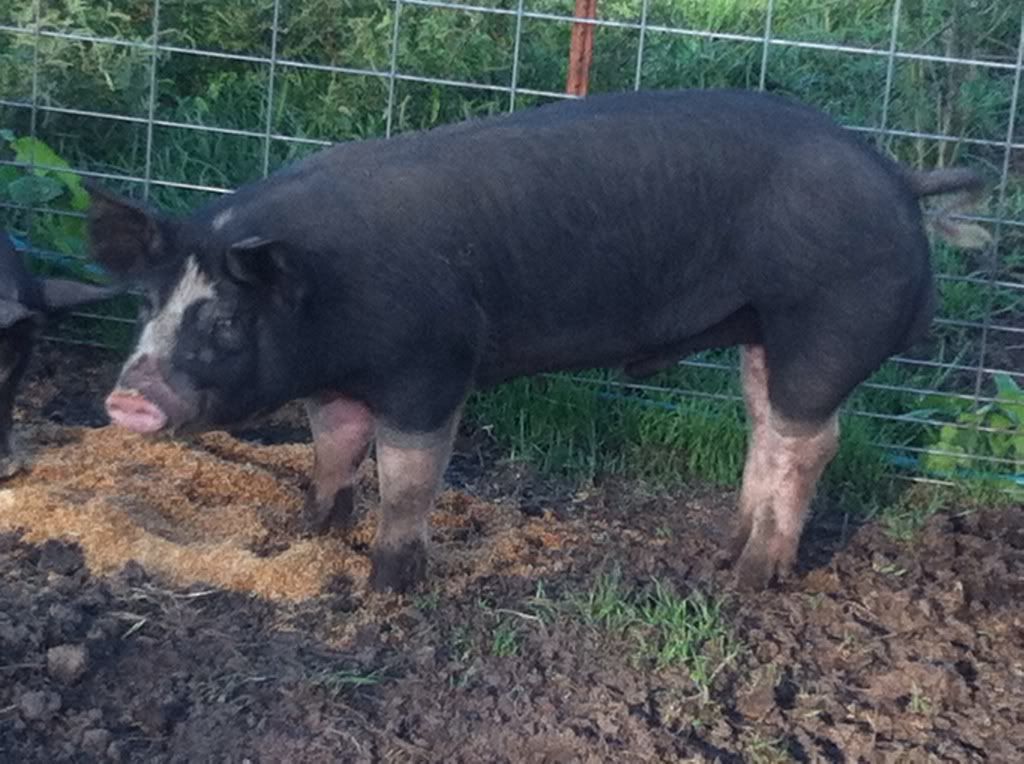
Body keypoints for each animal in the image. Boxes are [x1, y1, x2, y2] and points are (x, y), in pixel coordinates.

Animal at [84, 88, 989, 593]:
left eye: (226, 320)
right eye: (147, 307)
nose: (127, 398)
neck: (325, 296)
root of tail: (896, 175)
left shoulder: (430, 366)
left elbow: (407, 479)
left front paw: (386, 586)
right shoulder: (336, 381)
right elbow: (332, 451)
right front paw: (308, 537)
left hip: (824, 324)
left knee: (810, 439)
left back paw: (754, 579)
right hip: (764, 333)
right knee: (765, 422)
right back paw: (724, 550)